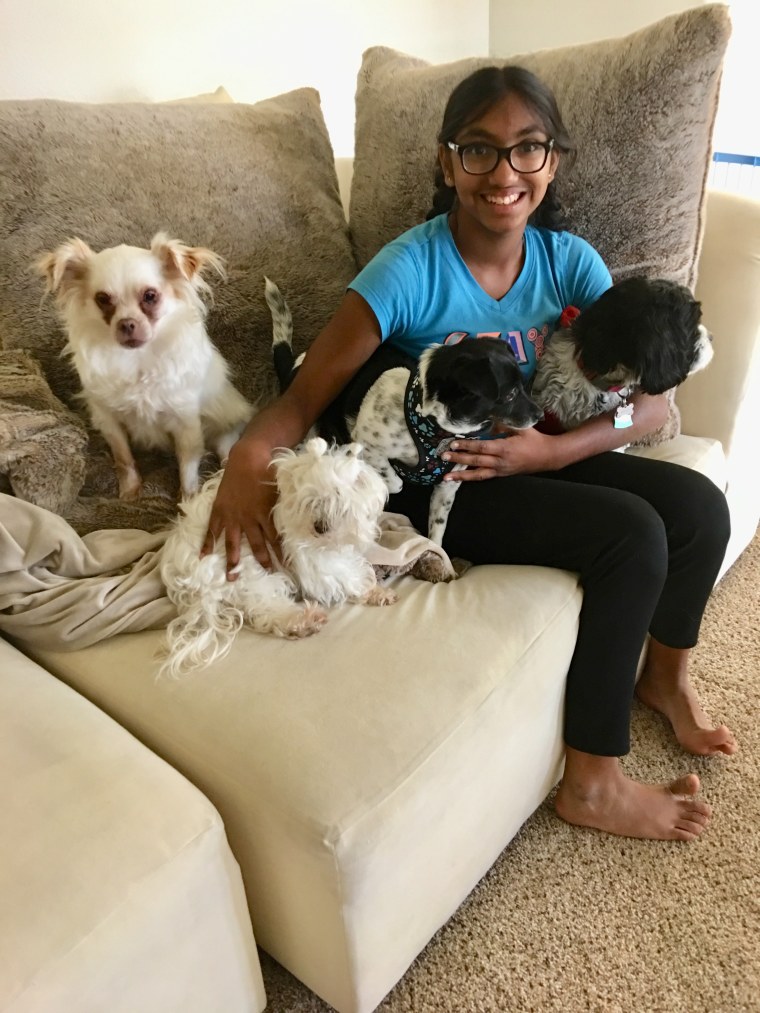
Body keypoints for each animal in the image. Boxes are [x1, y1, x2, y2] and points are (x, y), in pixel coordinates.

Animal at [35, 229, 254, 498]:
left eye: (150, 296)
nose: (127, 323)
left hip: (225, 428)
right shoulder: (109, 420)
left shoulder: (186, 424)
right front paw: (130, 491)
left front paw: (188, 500)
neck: (137, 359)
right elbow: (124, 458)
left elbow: (188, 467)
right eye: (102, 299)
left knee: (226, 452)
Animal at [158, 439, 401, 676]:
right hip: (248, 570)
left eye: (338, 499)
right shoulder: (308, 555)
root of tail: (195, 590)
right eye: (310, 502)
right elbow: (345, 575)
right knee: (265, 608)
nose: (319, 527)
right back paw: (302, 620)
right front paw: (374, 590)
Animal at [265, 277, 543, 547]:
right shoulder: (367, 444)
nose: (539, 414)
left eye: (523, 386)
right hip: (309, 439)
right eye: (510, 395)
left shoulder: (447, 486)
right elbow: (395, 483)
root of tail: (296, 366)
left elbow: (437, 532)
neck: (434, 428)